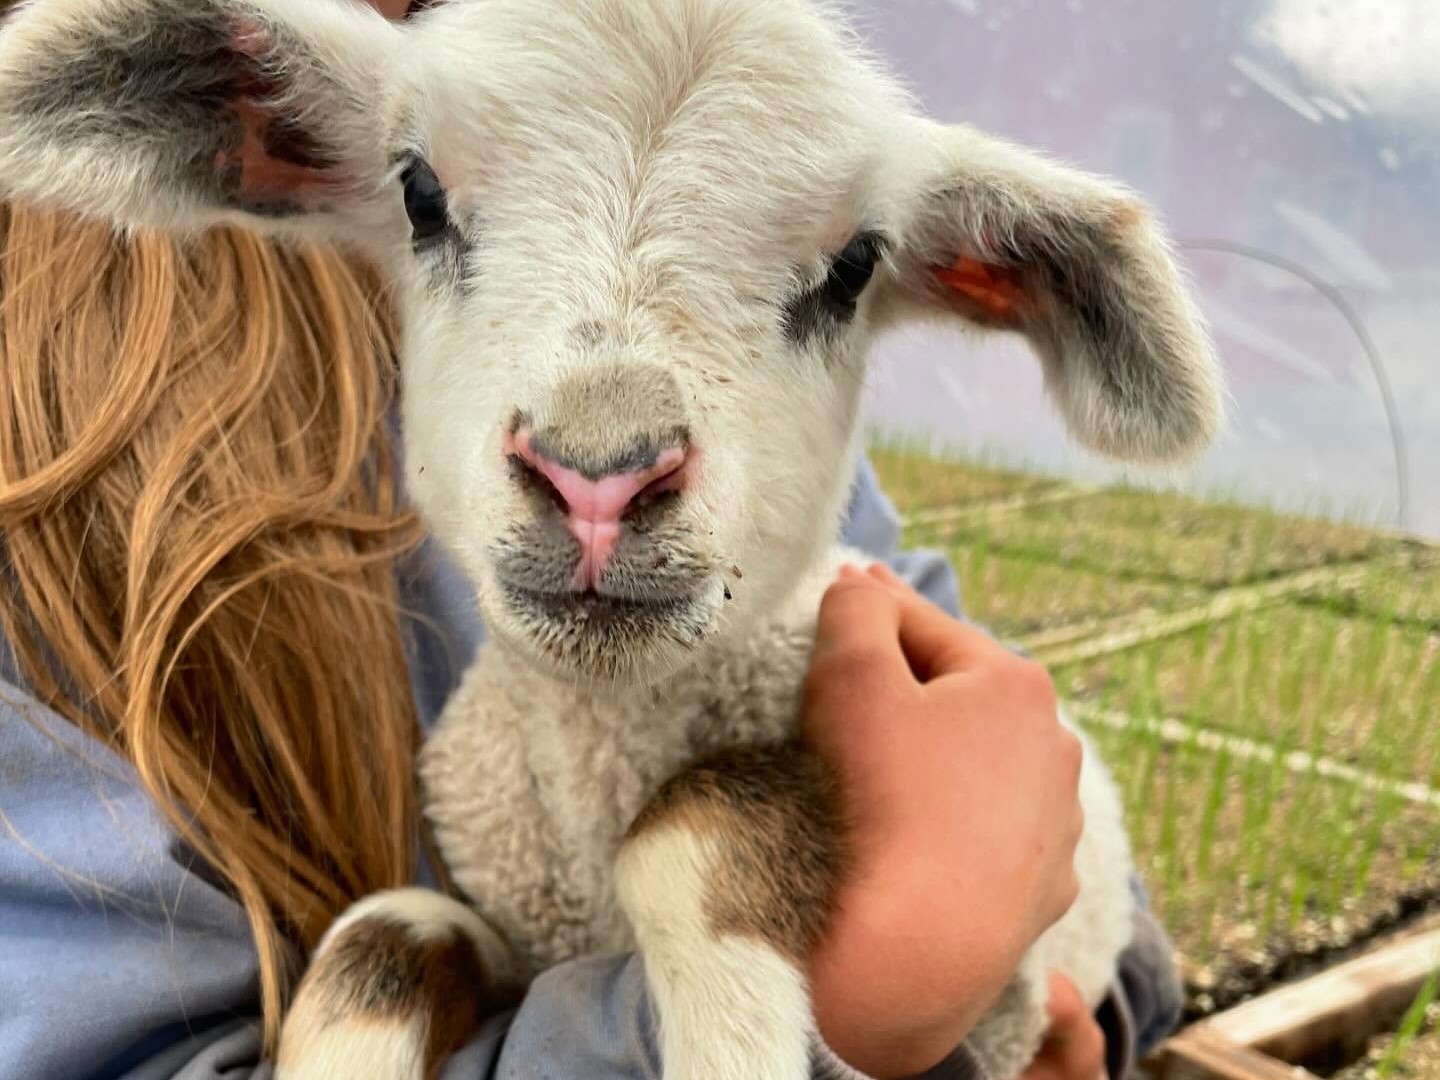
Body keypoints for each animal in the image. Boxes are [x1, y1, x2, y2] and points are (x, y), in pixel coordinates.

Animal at [0, 1, 1223, 1077]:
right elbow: (379, 939)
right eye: (419, 195)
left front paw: (734, 1045)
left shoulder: (1000, 1009)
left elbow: (698, 822)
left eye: (855, 267)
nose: (598, 476)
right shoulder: (504, 925)